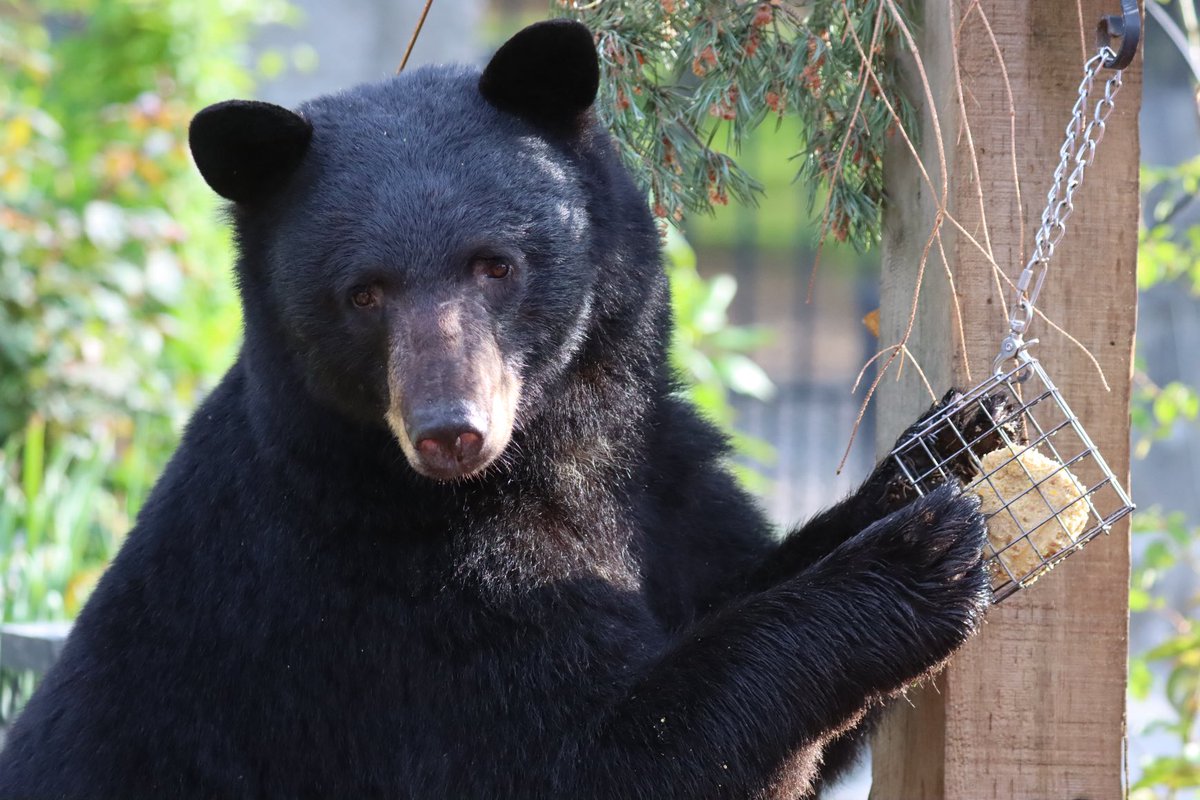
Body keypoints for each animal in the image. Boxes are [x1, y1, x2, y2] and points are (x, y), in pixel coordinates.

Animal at [0, 18, 993, 800]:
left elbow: (728, 583)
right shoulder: (378, 597)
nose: (450, 430)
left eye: (495, 264)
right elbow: (592, 757)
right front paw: (918, 555)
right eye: (363, 293)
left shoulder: (665, 479)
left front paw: (950, 452)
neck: (548, 458)